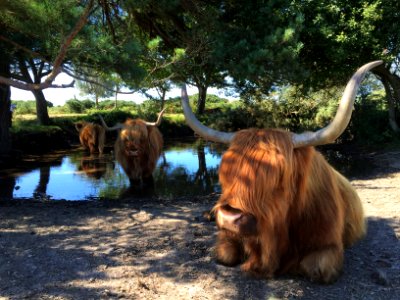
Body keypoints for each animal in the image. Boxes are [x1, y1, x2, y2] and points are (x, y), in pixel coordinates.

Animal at [180, 61, 382, 284]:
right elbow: (225, 255)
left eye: (280, 175)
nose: (229, 217)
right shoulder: (229, 236)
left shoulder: (328, 245)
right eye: (225, 172)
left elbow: (314, 267)